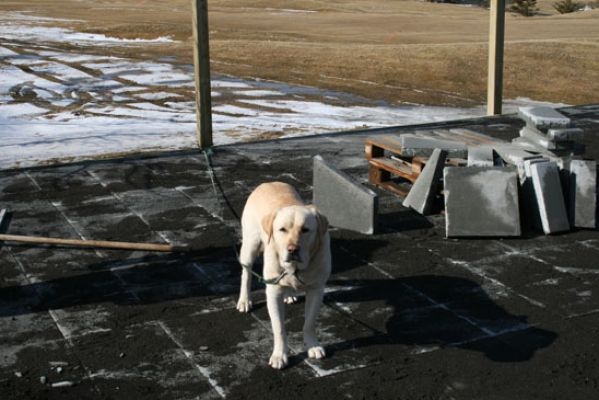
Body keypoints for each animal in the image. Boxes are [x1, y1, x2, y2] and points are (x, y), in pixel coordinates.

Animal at [236, 181, 331, 369]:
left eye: (305, 230)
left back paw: (289, 295)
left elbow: (309, 322)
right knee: (246, 273)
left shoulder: (317, 289)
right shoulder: (273, 293)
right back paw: (244, 300)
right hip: (250, 244)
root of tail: (267, 183)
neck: (296, 267)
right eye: (282, 230)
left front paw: (312, 345)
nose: (292, 249)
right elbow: (279, 328)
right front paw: (280, 355)